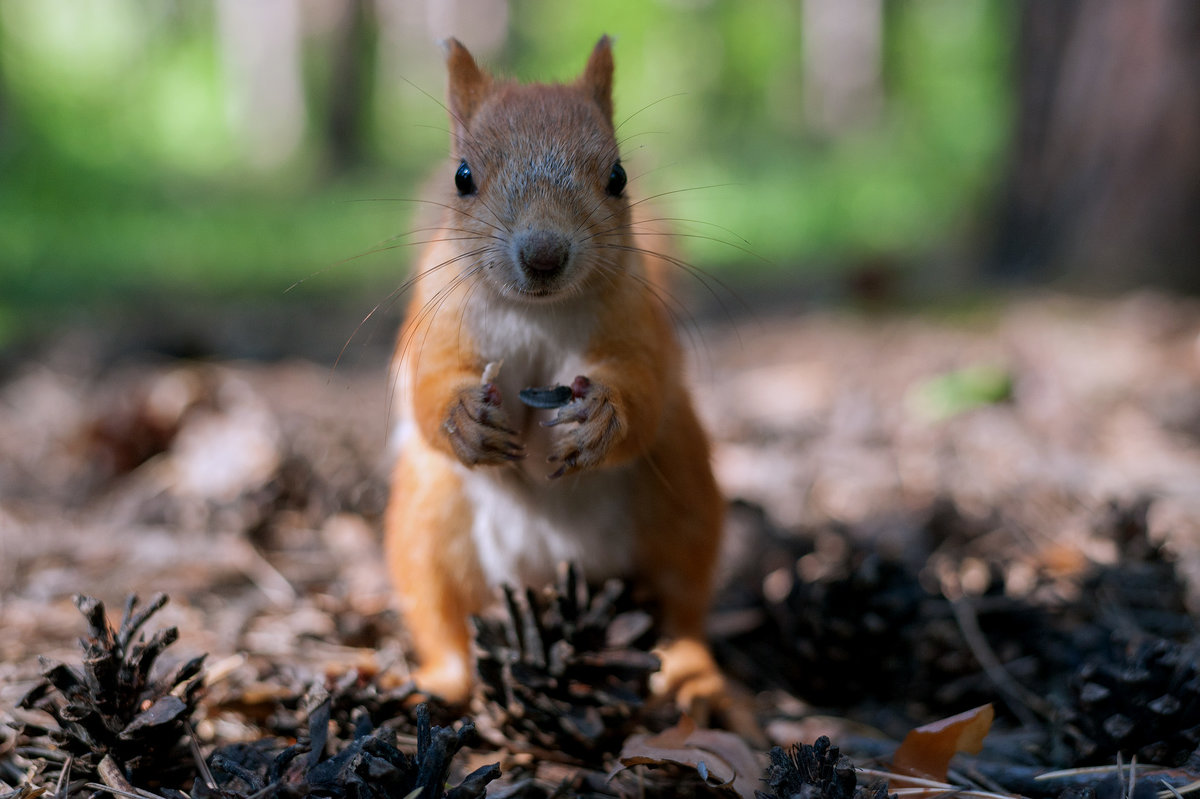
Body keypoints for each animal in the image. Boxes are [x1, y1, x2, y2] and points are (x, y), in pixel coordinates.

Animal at [384, 35, 729, 719]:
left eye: (618, 177)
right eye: (463, 177)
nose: (544, 255)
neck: (537, 313)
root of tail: (550, 574)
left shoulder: (640, 323)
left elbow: (645, 387)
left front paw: (602, 418)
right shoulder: (434, 323)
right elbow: (427, 386)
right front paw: (463, 417)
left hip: (682, 493)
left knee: (683, 606)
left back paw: (694, 675)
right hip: (427, 522)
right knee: (443, 622)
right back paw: (435, 683)